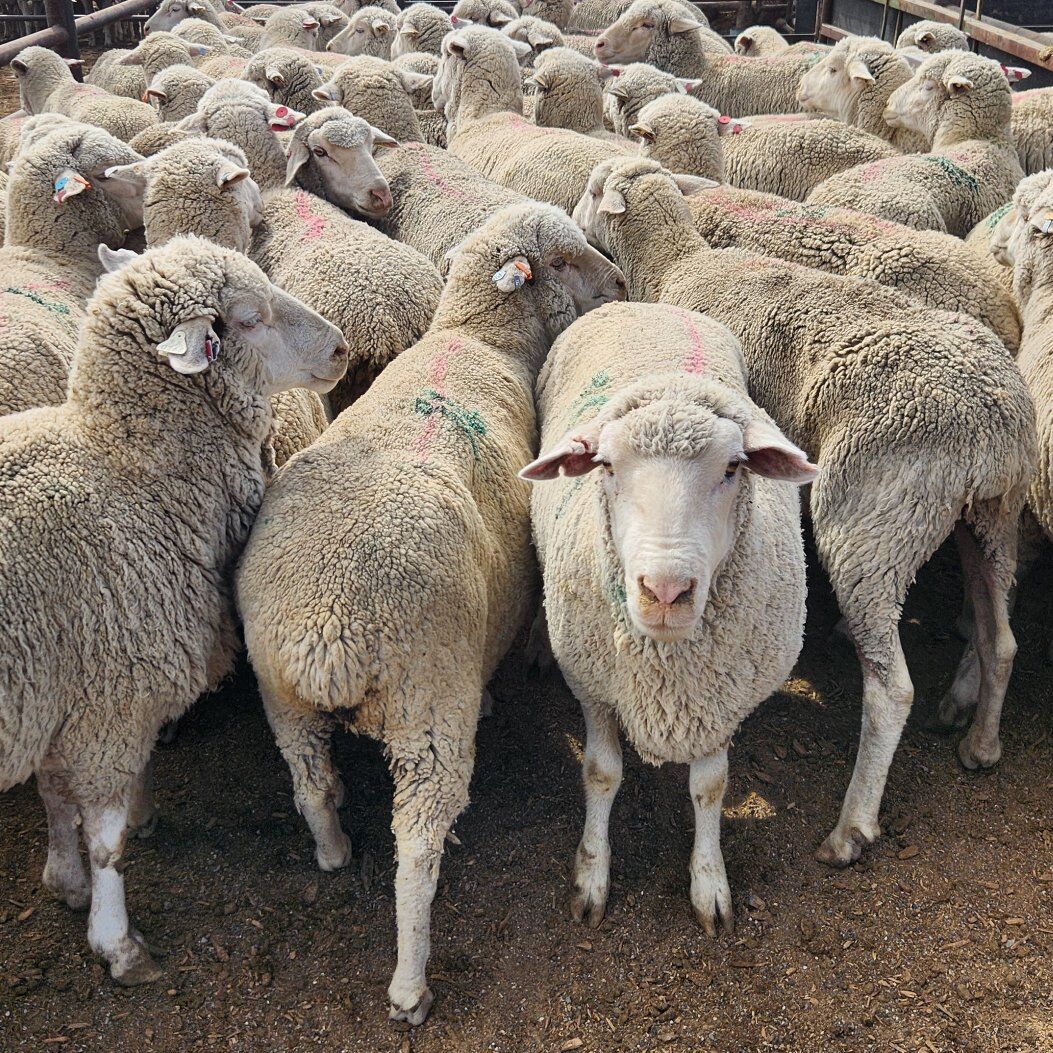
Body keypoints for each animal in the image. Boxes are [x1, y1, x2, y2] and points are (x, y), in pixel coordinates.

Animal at [0, 235, 347, 985]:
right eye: (248, 319)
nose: (340, 349)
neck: (133, 475)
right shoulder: (112, 700)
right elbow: (104, 836)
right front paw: (117, 942)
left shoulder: (62, 689)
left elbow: (54, 797)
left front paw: (63, 881)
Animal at [235, 201, 624, 1025]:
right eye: (565, 261)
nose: (620, 283)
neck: (478, 339)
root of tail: (328, 634)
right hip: (428, 707)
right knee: (416, 848)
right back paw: (410, 985)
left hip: (282, 697)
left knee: (310, 783)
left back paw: (333, 851)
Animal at [520, 300, 816, 932]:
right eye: (606, 465)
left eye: (733, 468)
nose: (665, 590)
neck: (667, 668)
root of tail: (643, 303)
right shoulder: (594, 685)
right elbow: (601, 773)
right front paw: (592, 877)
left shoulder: (723, 700)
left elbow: (710, 786)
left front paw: (710, 884)